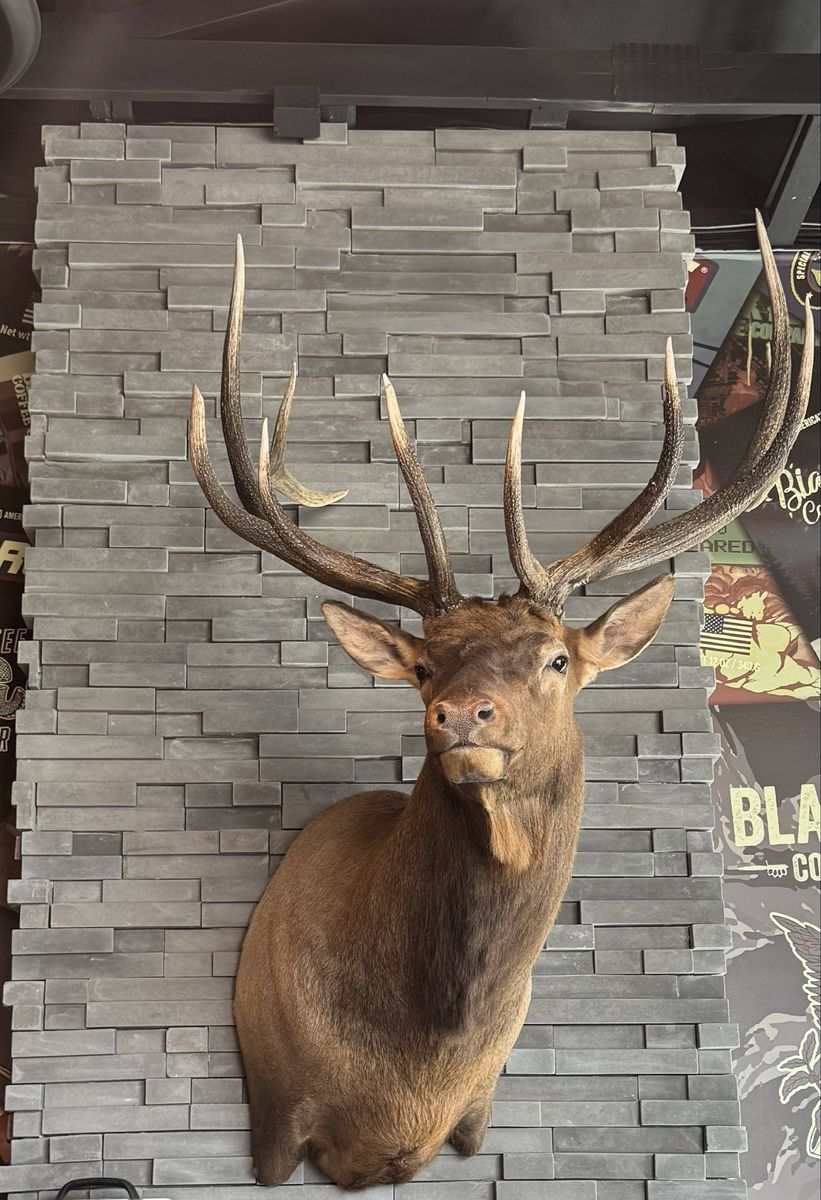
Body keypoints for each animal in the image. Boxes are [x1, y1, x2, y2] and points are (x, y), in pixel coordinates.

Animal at [187, 212, 812, 1190]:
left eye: (556, 658)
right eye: (423, 667)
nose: (460, 715)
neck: (420, 1072)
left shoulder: (476, 1120)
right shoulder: (275, 1116)